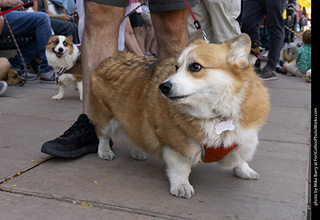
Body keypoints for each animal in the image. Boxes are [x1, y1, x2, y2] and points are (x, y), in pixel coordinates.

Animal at [89, 34, 270, 199]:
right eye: (176, 67)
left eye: (195, 66)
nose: (163, 87)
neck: (216, 115)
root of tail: (109, 59)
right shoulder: (176, 144)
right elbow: (181, 169)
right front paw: (182, 186)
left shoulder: (242, 136)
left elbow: (239, 157)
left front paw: (245, 170)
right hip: (105, 117)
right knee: (103, 135)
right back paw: (105, 152)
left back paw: (138, 151)